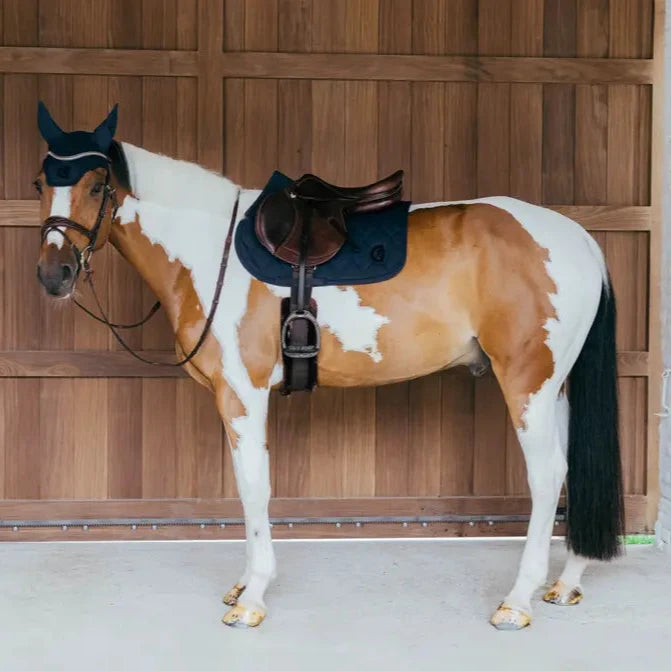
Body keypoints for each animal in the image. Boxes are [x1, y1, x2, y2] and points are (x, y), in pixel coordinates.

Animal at [34, 103, 624, 632]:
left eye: (96, 185)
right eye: (41, 181)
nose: (53, 274)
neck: (211, 250)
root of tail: (578, 239)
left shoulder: (243, 393)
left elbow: (254, 487)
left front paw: (252, 597)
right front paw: (243, 585)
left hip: (528, 385)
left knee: (546, 476)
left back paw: (517, 602)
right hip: (556, 388)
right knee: (571, 469)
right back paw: (565, 583)